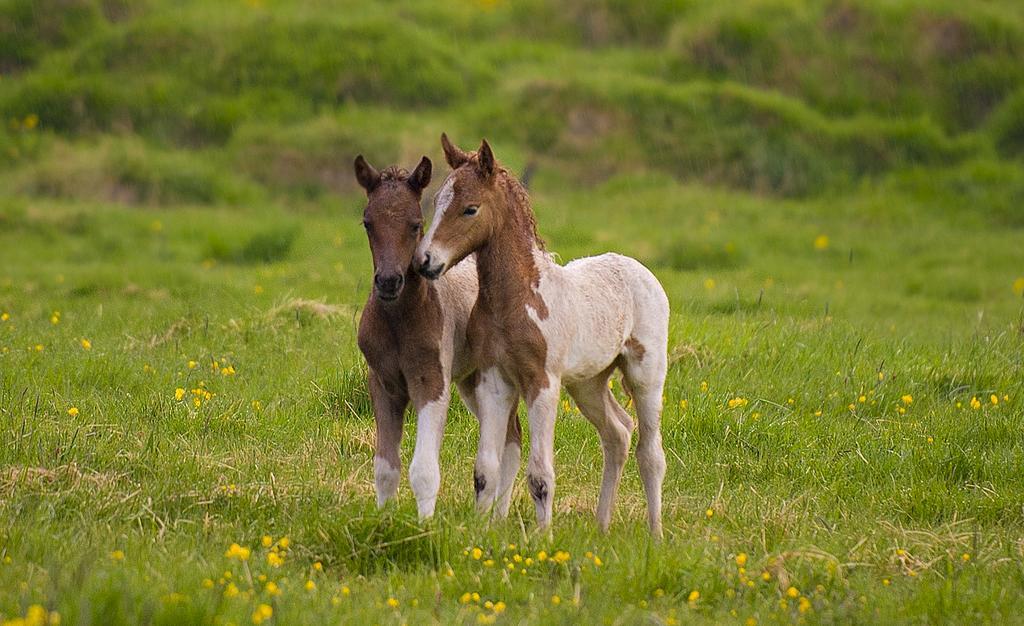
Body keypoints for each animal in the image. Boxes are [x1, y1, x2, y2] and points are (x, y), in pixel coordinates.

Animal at [356, 155, 524, 518]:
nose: (389, 282)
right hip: (471, 382)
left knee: (513, 440)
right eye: (367, 223)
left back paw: (499, 516)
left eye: (415, 224)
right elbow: (385, 468)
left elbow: (424, 470)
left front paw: (424, 526)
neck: (398, 322)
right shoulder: (382, 384)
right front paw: (383, 521)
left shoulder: (431, 382)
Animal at [415, 136, 671, 532]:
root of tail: (637, 268)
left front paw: (541, 537)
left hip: (647, 374)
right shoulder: (494, 380)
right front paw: (480, 530)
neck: (518, 299)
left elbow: (540, 475)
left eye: (470, 209)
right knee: (617, 433)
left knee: (651, 453)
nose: (425, 261)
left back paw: (655, 534)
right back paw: (601, 528)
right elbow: (485, 470)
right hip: (588, 383)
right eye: (437, 200)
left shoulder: (543, 382)